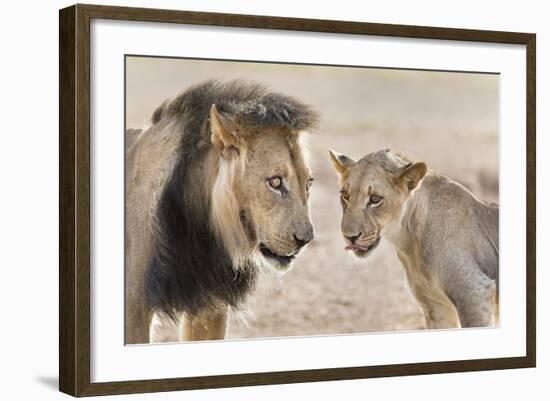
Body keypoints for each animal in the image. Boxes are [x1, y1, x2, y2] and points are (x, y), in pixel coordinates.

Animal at [330, 148, 502, 326]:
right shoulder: (436, 306)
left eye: (375, 199)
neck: (408, 241)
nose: (349, 236)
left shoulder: (474, 292)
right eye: (345, 195)